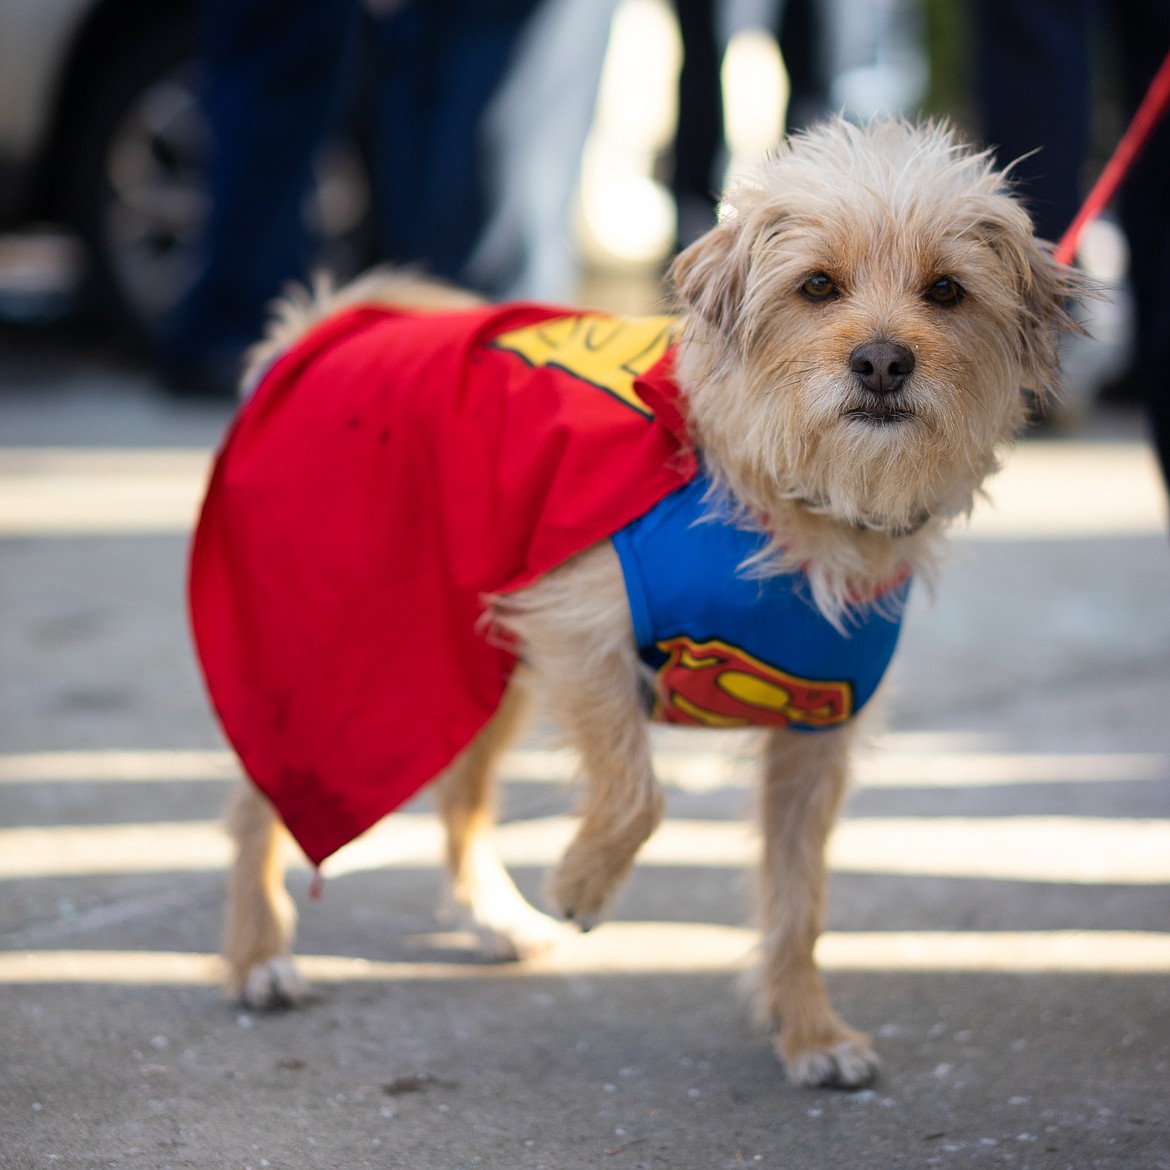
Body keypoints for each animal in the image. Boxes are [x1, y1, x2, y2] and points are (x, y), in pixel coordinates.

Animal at [187, 118, 1081, 1085]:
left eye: (946, 290)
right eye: (817, 285)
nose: (882, 361)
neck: (773, 494)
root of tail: (321, 334)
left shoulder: (814, 728)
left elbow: (798, 897)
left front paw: (809, 1031)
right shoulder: (579, 632)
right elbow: (636, 793)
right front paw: (584, 882)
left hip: (486, 668)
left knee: (462, 796)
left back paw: (497, 920)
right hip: (342, 649)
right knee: (265, 799)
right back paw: (258, 954)